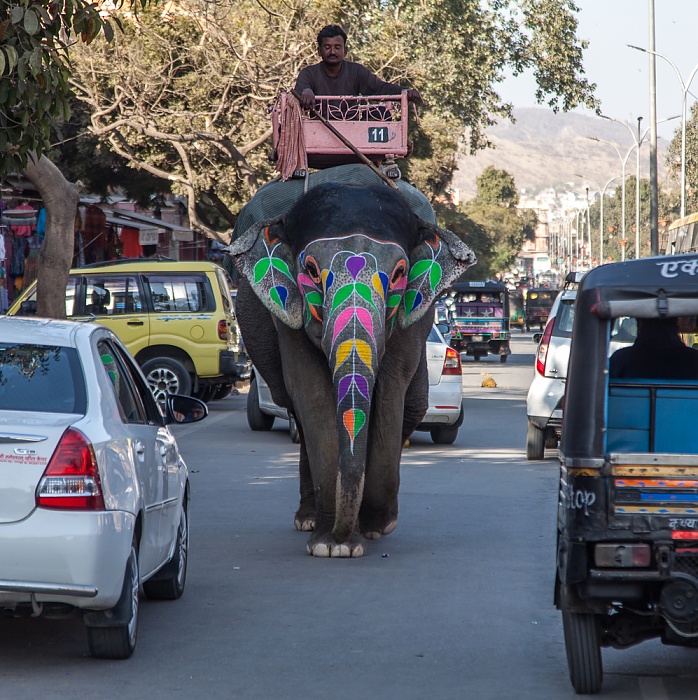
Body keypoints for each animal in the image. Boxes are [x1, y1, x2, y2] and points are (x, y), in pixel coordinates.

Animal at [228, 182, 474, 556]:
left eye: (399, 273)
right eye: (311, 270)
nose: (341, 538)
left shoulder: (411, 316)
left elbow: (391, 388)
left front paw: (375, 526)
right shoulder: (288, 315)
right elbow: (311, 392)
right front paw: (332, 546)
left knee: (414, 405)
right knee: (296, 411)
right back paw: (308, 519)